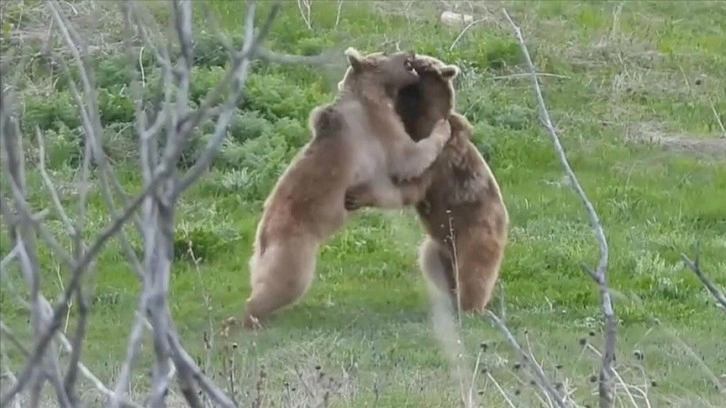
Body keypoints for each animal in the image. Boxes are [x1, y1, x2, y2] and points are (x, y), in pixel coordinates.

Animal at [242, 47, 452, 330]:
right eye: (386, 52)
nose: (410, 52)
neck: (373, 94)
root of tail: (264, 232)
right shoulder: (377, 127)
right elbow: (407, 156)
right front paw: (443, 126)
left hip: (261, 257)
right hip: (294, 248)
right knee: (288, 282)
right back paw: (251, 315)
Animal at [346, 53, 512, 316]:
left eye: (423, 61)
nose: (411, 55)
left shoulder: (437, 163)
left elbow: (409, 183)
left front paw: (358, 195)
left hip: (477, 231)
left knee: (474, 271)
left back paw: (469, 306)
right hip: (437, 247)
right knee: (433, 264)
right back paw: (449, 297)